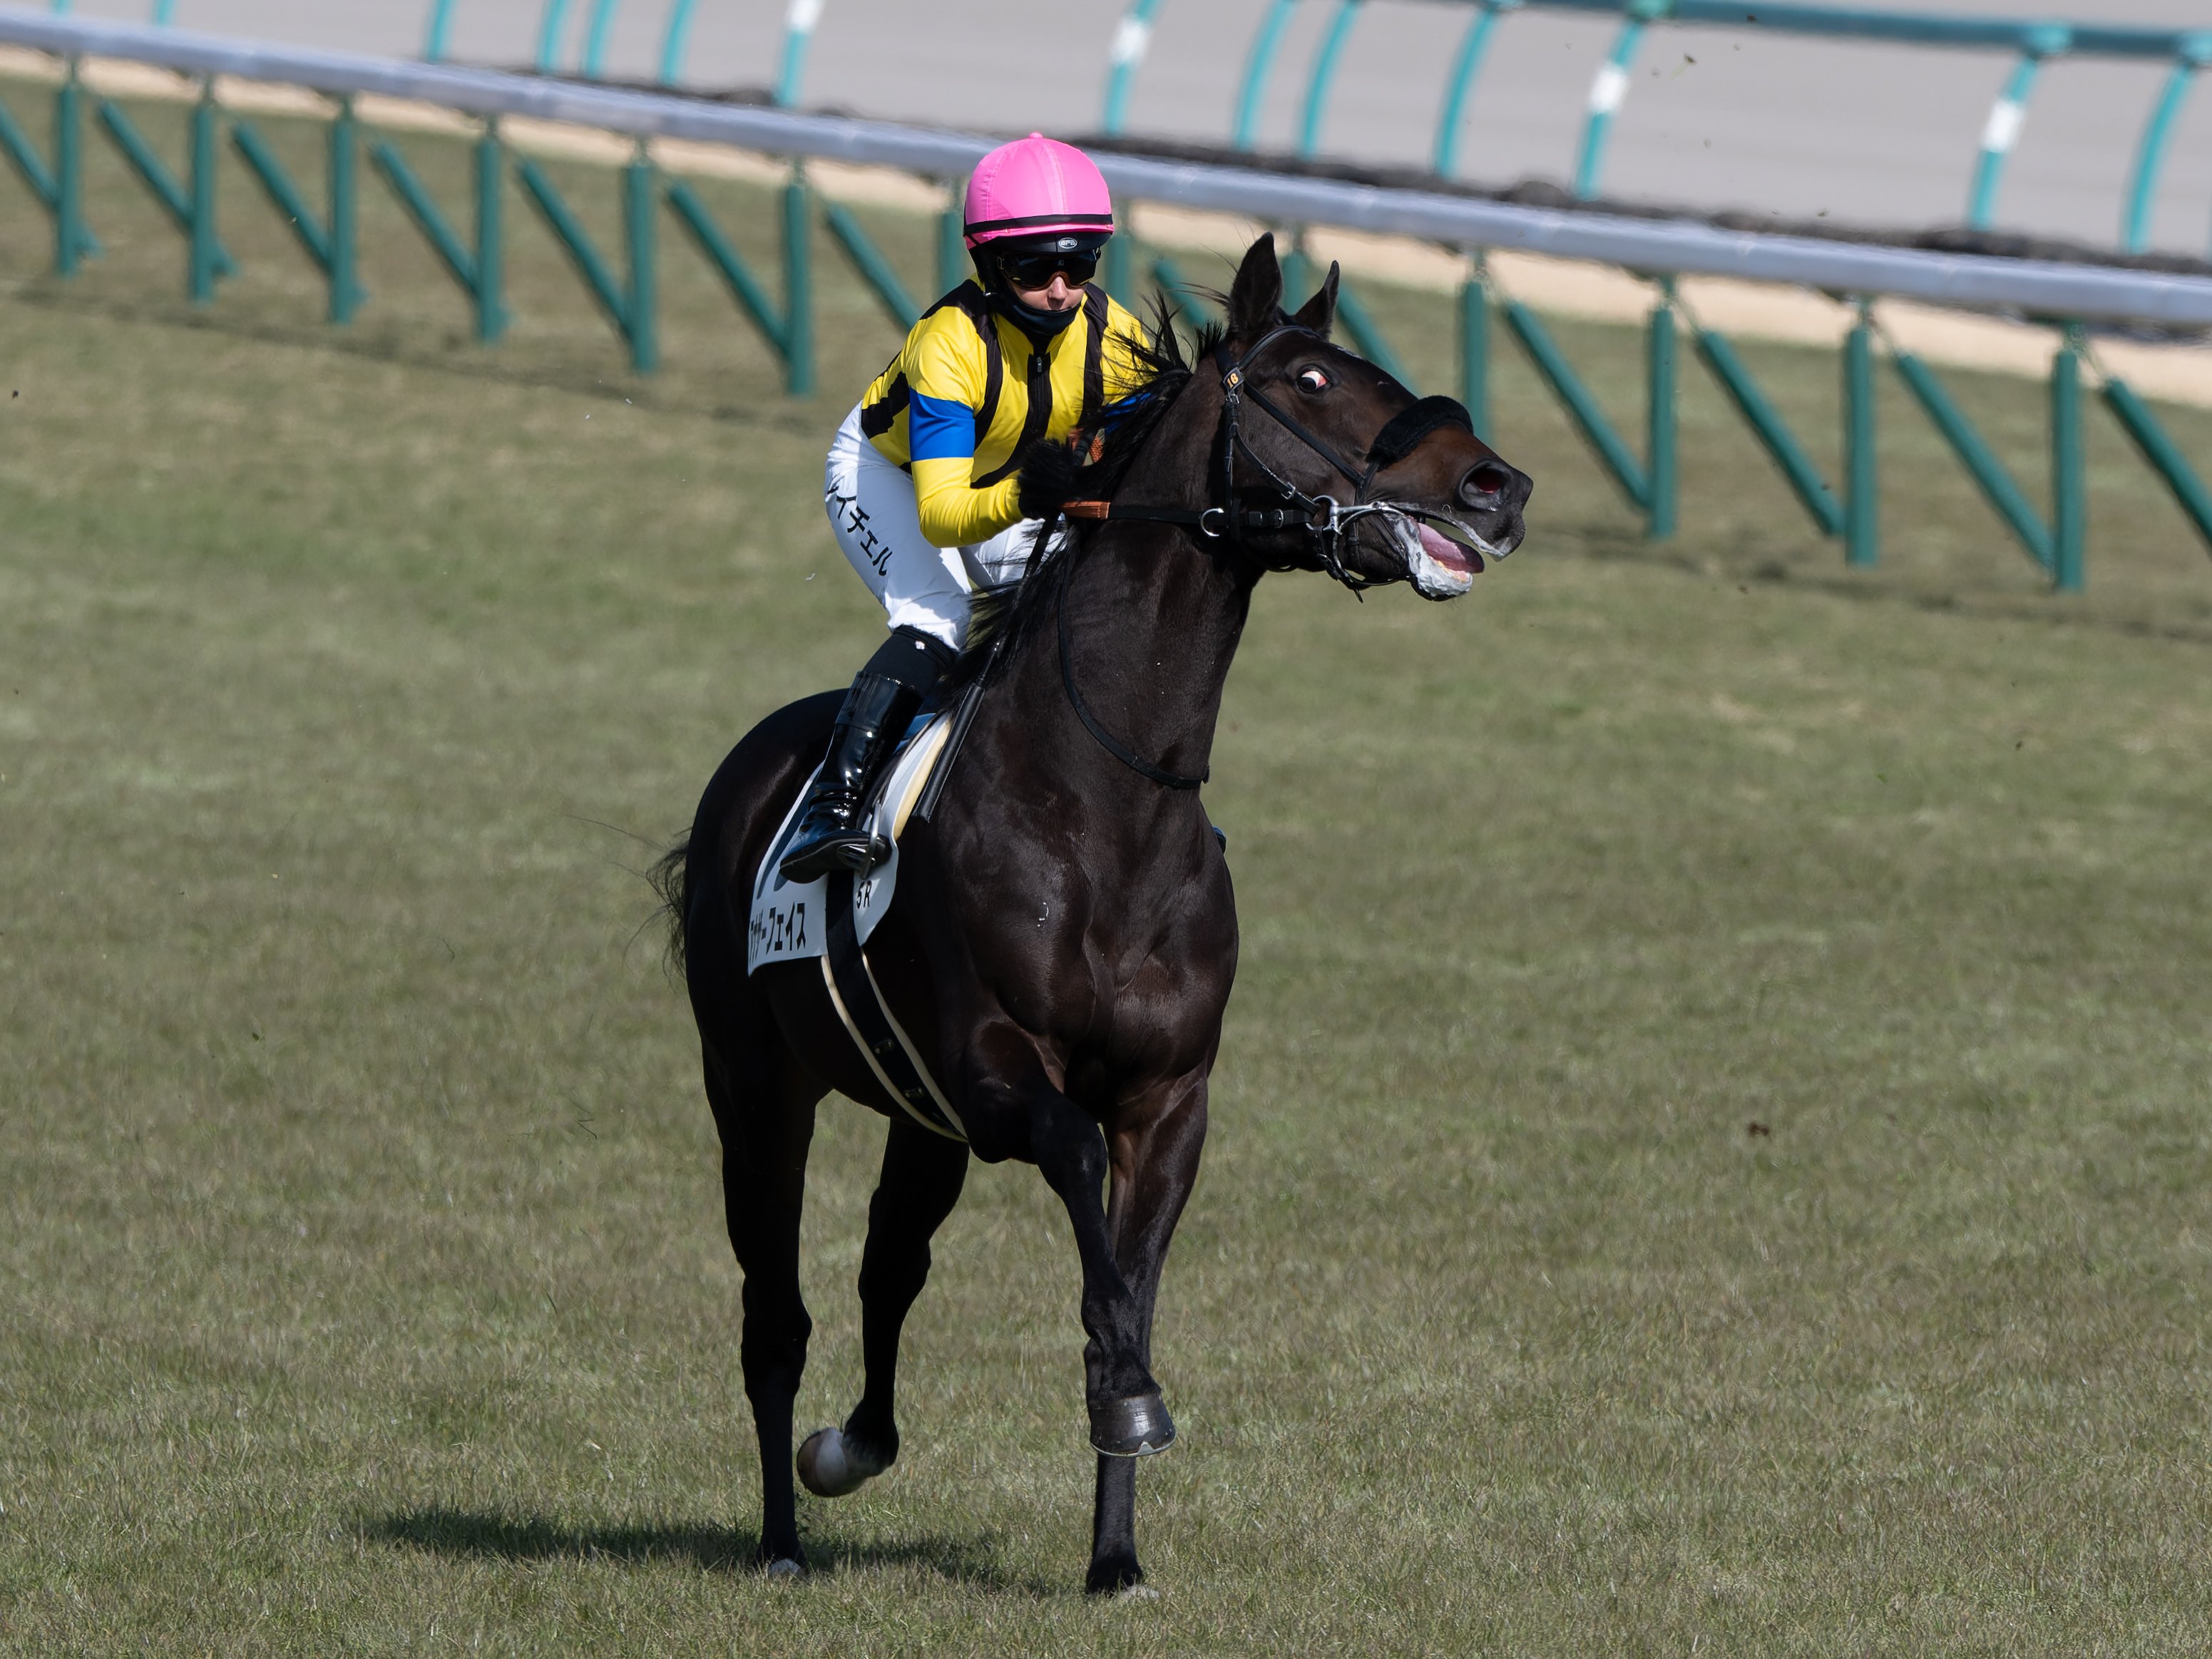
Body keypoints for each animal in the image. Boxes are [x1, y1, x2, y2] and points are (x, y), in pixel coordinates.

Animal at [654, 234, 1533, 1594]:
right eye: (1315, 380)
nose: (1497, 484)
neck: (1104, 800)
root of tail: (742, 776)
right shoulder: (996, 1071)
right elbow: (1083, 1211)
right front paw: (1128, 1401)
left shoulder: (1167, 1098)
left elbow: (1126, 1287)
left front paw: (1114, 1546)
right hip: (755, 1086)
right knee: (774, 1310)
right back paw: (783, 1538)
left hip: (916, 1111)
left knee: (887, 1261)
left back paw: (854, 1446)